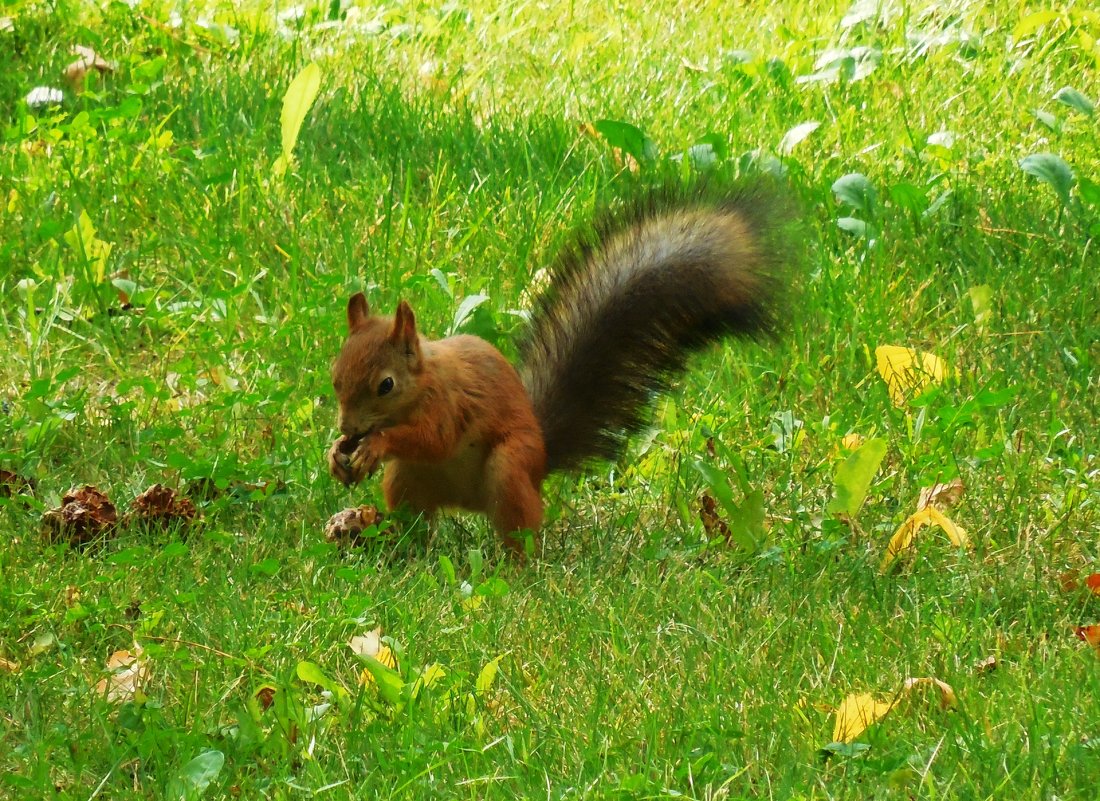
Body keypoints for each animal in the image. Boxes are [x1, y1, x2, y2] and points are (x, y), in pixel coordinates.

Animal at [325, 183, 800, 554]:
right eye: (335, 377)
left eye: (386, 384)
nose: (348, 428)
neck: (422, 384)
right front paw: (337, 453)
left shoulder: (450, 404)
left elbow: (432, 439)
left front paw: (377, 443)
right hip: (407, 479)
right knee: (416, 525)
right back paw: (377, 532)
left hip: (509, 467)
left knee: (519, 533)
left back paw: (512, 568)